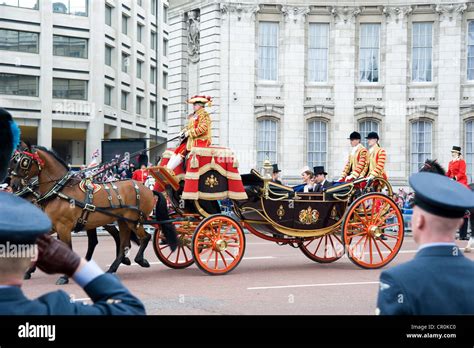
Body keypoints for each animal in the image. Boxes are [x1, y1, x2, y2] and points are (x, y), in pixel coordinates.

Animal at [9, 145, 155, 284]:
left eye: (25, 161)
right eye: (14, 161)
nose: (14, 185)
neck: (59, 191)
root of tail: (146, 188)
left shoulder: (64, 227)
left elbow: (67, 248)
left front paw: (64, 276)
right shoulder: (53, 226)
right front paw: (28, 271)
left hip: (133, 221)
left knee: (145, 237)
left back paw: (139, 260)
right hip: (122, 221)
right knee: (123, 244)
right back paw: (112, 268)